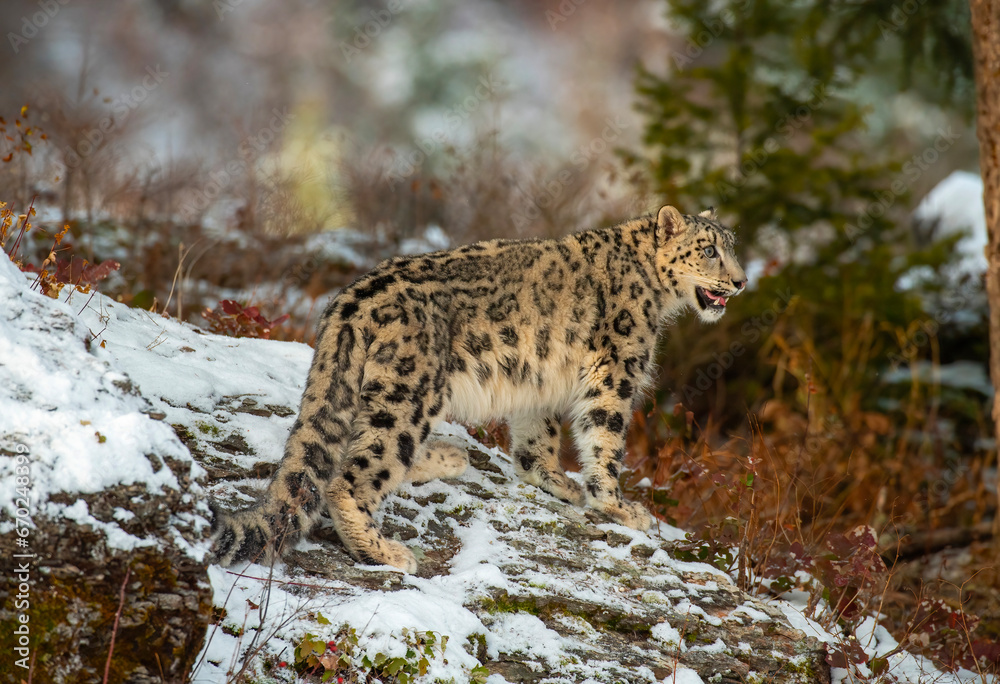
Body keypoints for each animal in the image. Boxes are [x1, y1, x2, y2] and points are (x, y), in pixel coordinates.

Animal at [213, 204, 744, 572]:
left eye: (733, 246)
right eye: (709, 250)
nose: (740, 282)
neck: (659, 298)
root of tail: (348, 302)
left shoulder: (540, 379)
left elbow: (537, 434)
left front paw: (553, 478)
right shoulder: (616, 370)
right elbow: (606, 439)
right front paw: (618, 504)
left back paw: (448, 457)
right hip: (411, 394)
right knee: (353, 475)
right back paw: (387, 550)